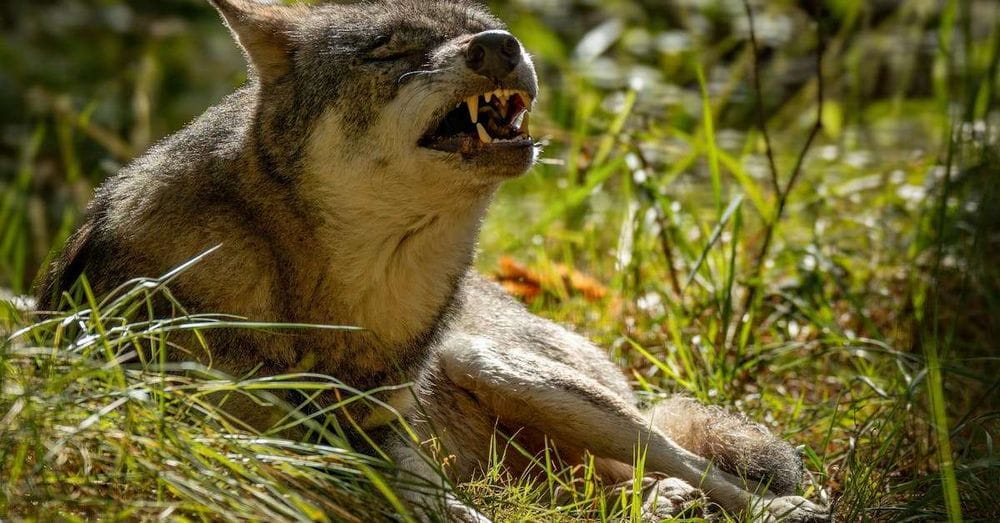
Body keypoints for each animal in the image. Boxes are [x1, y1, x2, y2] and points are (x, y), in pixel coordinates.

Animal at [37, 2, 828, 520]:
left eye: (478, 25)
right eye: (389, 50)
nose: (500, 45)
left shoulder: (387, 433)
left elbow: (441, 503)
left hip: (502, 368)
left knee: (692, 462)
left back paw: (765, 506)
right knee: (595, 486)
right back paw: (662, 502)